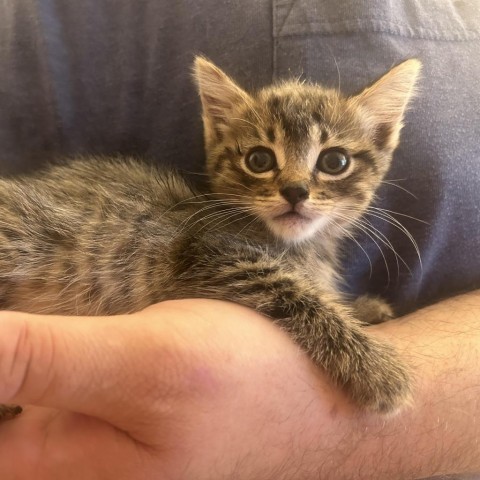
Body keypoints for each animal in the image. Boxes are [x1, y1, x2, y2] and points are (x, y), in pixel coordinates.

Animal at [0, 55, 420, 420]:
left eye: (335, 162)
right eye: (259, 160)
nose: (295, 191)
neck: (299, 246)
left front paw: (365, 310)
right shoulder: (214, 254)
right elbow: (298, 294)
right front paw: (377, 368)